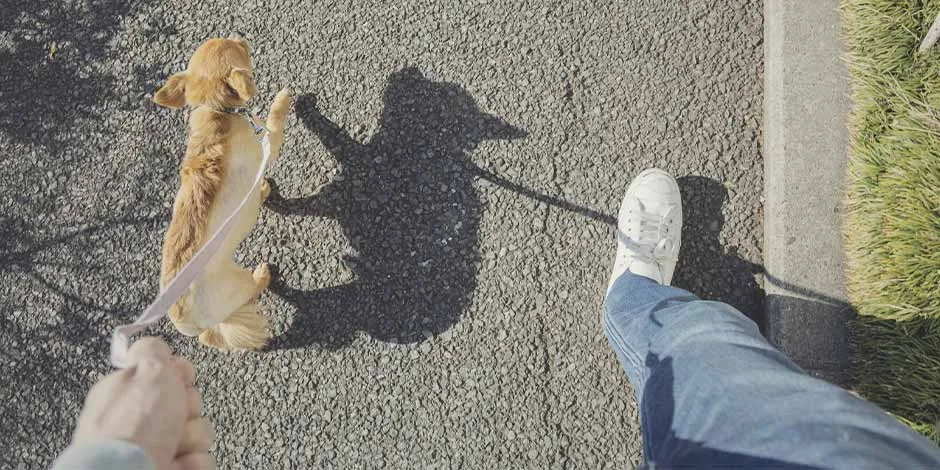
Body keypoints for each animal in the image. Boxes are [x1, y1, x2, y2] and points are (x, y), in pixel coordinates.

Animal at [152, 38, 292, 350]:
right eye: (240, 51)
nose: (241, 36)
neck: (216, 109)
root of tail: (185, 319)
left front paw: (262, 189)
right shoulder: (266, 146)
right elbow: (275, 122)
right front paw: (285, 98)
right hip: (235, 283)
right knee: (251, 287)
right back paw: (262, 274)